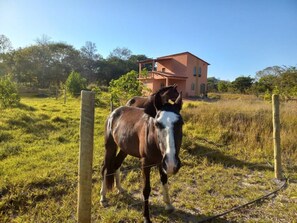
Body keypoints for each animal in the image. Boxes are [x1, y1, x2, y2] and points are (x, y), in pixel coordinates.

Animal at [100, 89, 183, 222]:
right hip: (110, 147)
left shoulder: (162, 163)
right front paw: (146, 217)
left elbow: (164, 180)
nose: (172, 164)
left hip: (124, 148)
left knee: (116, 165)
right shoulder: (145, 164)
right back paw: (103, 197)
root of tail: (113, 113)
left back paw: (120, 188)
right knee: (105, 168)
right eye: (157, 124)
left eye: (181, 123)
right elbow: (146, 189)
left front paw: (168, 204)